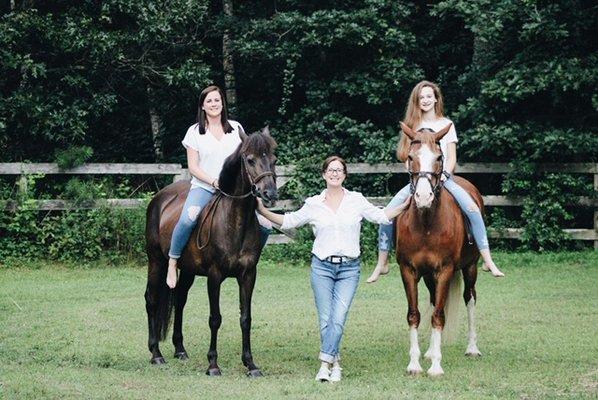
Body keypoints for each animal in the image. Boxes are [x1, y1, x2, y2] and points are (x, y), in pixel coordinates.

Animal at [144, 129, 278, 378]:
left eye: (273, 160)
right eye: (250, 160)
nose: (270, 194)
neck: (234, 222)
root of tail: (159, 198)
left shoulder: (248, 276)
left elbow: (246, 318)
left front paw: (251, 364)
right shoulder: (214, 277)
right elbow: (215, 319)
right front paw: (213, 365)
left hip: (187, 271)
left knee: (180, 300)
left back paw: (180, 350)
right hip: (156, 261)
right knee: (152, 300)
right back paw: (156, 353)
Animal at [398, 121, 482, 376]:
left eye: (438, 157)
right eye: (411, 157)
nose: (423, 197)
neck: (426, 224)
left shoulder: (445, 270)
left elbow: (438, 317)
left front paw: (436, 367)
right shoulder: (408, 271)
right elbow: (414, 314)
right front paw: (415, 364)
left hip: (471, 268)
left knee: (470, 298)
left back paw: (472, 348)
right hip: (428, 276)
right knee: (435, 300)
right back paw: (429, 352)